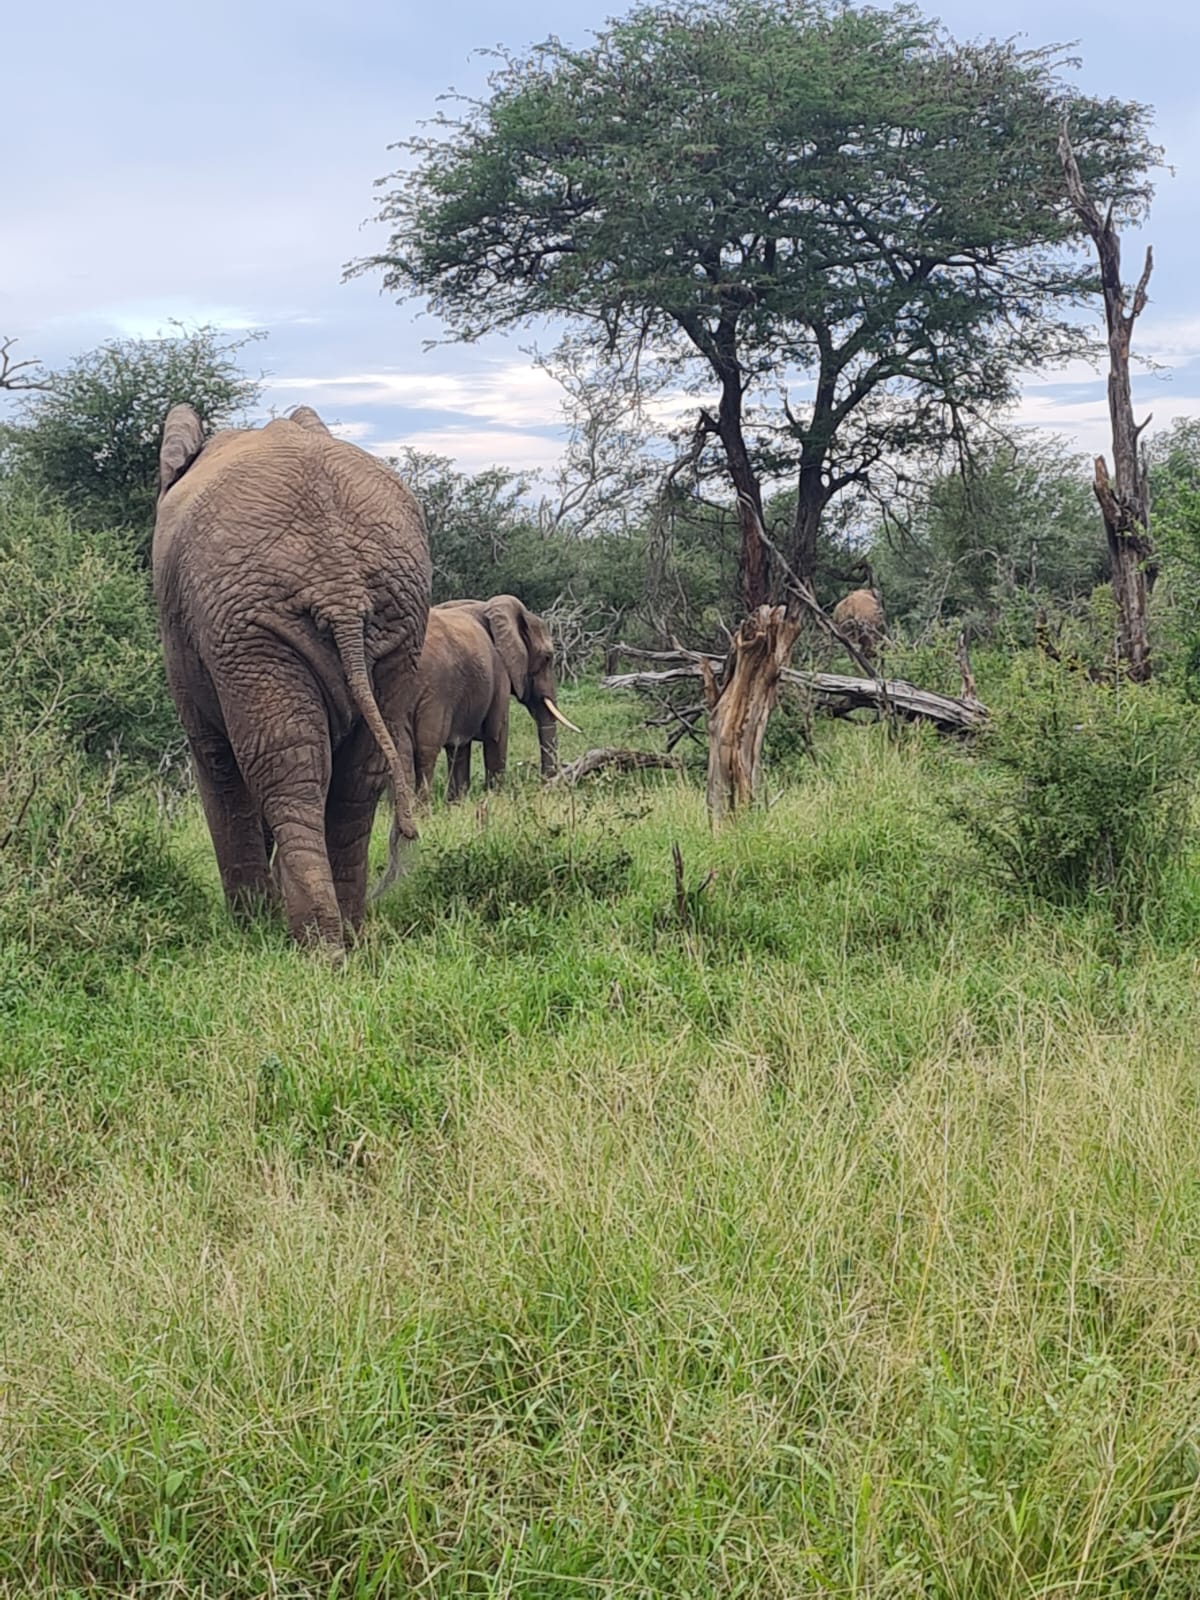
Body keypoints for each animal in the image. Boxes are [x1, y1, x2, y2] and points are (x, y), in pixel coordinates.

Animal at [152, 402, 432, 953]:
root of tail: (340, 583)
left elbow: (215, 759)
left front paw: (250, 924)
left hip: (247, 631)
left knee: (285, 766)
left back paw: (314, 946)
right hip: (400, 619)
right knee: (354, 776)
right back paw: (348, 936)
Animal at [411, 596, 579, 800]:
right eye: (547, 657)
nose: (544, 786)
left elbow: (459, 746)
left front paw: (458, 802)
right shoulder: (500, 673)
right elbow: (496, 735)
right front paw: (496, 798)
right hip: (435, 690)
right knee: (426, 750)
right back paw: (421, 807)